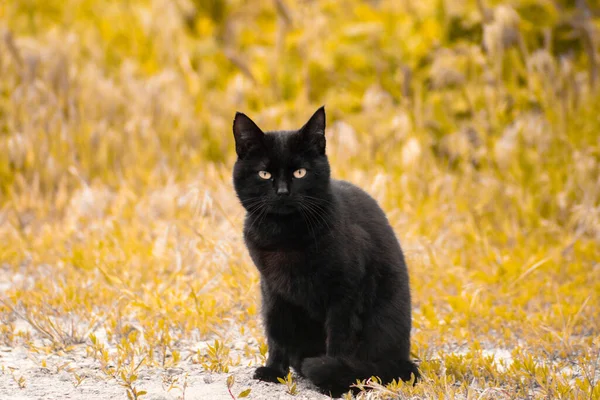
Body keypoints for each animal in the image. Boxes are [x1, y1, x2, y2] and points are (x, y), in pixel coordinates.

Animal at [232, 106, 420, 396]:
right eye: (264, 174)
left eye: (300, 172)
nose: (283, 192)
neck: (285, 236)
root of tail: (403, 359)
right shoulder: (272, 289)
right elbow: (275, 333)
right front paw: (274, 371)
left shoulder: (345, 294)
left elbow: (339, 340)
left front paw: (334, 381)